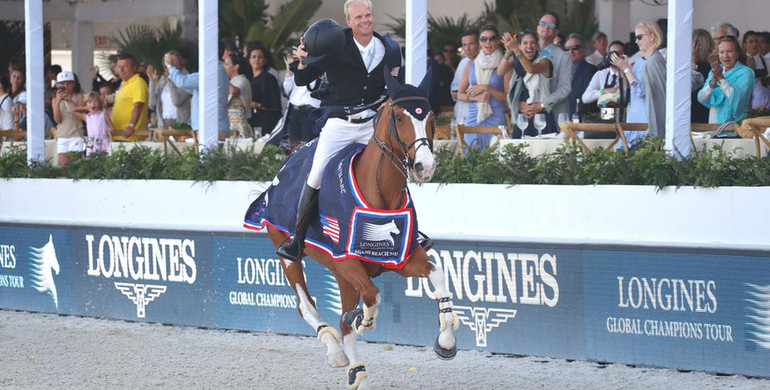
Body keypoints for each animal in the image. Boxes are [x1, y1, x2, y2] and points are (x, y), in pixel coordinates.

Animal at [250, 72, 456, 386]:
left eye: (431, 117)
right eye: (399, 117)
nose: (425, 166)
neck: (379, 193)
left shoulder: (403, 258)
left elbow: (439, 275)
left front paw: (446, 338)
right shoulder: (346, 262)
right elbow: (372, 295)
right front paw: (366, 319)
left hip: (341, 276)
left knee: (343, 323)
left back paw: (356, 370)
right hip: (289, 253)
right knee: (307, 305)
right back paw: (335, 351)